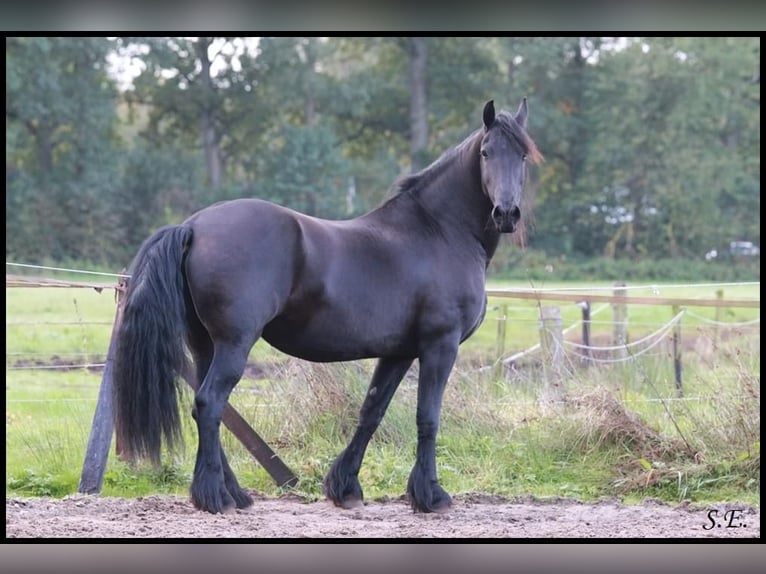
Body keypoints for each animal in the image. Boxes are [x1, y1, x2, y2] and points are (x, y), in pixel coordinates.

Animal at [112, 98, 542, 515]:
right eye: (486, 153)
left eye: (522, 155)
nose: (506, 213)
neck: (437, 232)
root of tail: (194, 226)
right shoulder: (440, 345)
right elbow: (428, 417)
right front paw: (431, 495)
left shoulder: (399, 352)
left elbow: (371, 412)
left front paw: (345, 487)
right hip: (235, 343)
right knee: (210, 403)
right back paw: (216, 498)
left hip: (205, 344)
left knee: (213, 409)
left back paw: (233, 493)